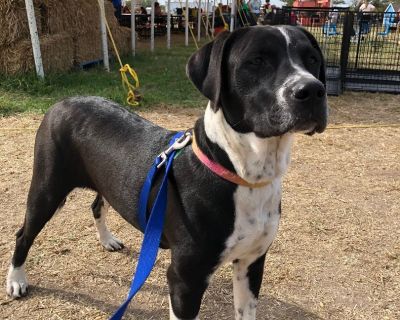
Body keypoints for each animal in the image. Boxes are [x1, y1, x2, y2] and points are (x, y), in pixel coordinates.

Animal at [5, 26, 328, 318]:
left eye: (312, 59)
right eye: (256, 61)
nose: (312, 90)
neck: (241, 173)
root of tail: (62, 102)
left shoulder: (252, 262)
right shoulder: (185, 279)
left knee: (97, 205)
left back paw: (107, 240)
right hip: (47, 188)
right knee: (23, 233)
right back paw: (16, 281)